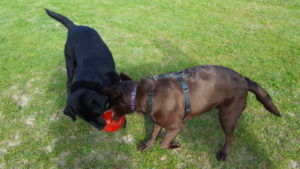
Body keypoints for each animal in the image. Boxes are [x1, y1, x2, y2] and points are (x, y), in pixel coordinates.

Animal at [102, 65, 280, 161]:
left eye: (110, 103)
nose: (106, 114)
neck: (144, 94)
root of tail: (244, 79)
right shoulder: (158, 121)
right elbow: (154, 134)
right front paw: (147, 145)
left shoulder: (176, 127)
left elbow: (163, 143)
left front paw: (174, 145)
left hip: (227, 115)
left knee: (230, 137)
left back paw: (224, 153)